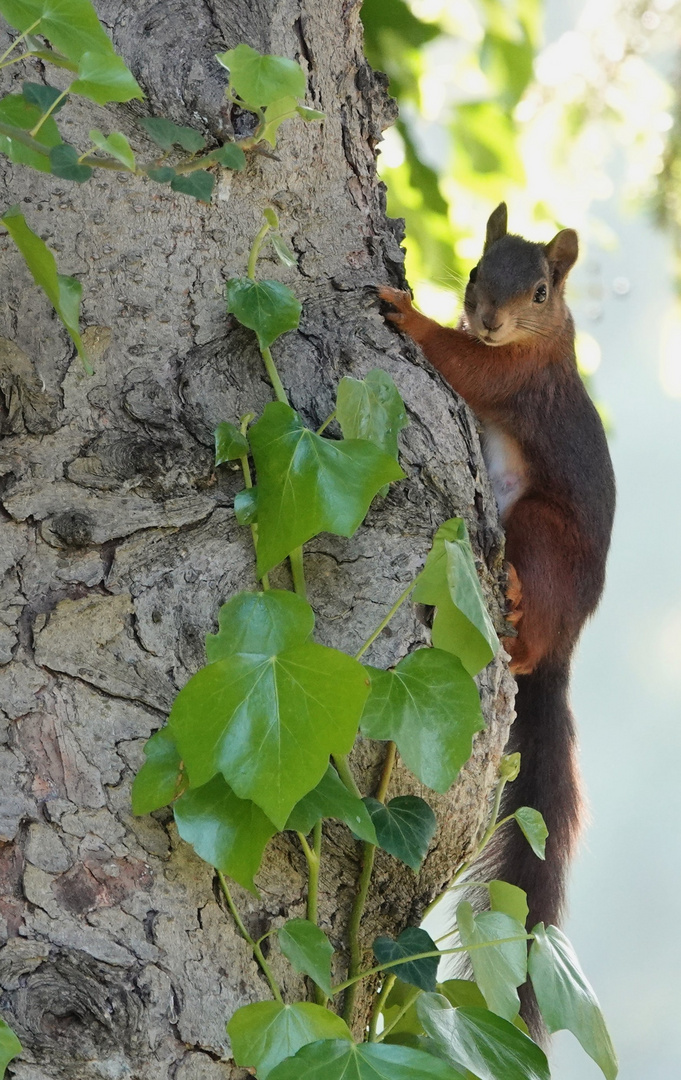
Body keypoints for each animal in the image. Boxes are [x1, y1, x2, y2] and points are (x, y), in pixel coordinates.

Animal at [377, 204, 617, 1019]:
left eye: (540, 290)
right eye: (479, 269)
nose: (484, 318)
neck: (538, 336)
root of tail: (567, 644)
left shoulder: (517, 376)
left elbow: (470, 368)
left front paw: (408, 313)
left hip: (541, 533)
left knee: (527, 629)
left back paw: (513, 605)